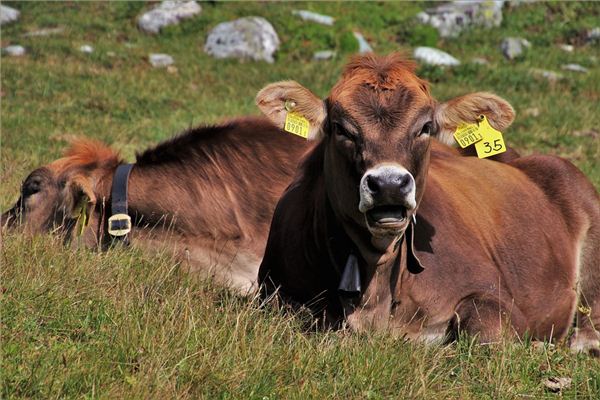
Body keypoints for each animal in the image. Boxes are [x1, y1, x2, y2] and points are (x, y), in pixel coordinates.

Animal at [256, 54, 600, 356]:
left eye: (424, 128)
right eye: (341, 128)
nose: (389, 184)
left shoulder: (494, 294)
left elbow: (486, 332)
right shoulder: (273, 291)